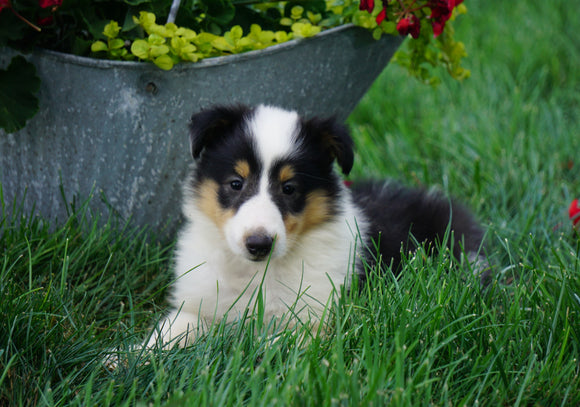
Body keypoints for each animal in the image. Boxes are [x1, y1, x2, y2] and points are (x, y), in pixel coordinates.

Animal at [147, 104, 488, 348]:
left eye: (289, 188)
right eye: (235, 183)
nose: (258, 244)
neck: (258, 273)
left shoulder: (313, 317)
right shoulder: (198, 303)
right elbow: (171, 330)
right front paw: (134, 358)